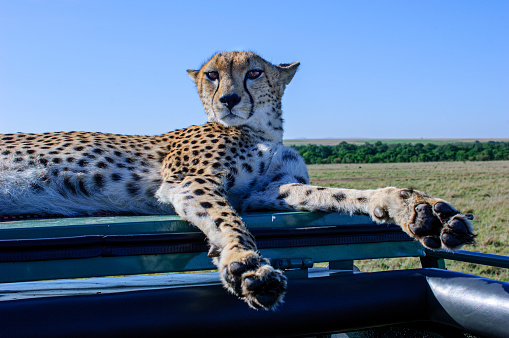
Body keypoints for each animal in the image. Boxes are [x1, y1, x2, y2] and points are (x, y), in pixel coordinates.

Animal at [1, 51, 474, 310]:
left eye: (254, 73)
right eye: (212, 74)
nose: (228, 99)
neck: (262, 129)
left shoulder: (268, 190)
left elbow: (341, 194)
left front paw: (415, 208)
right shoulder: (188, 181)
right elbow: (227, 219)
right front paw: (245, 263)